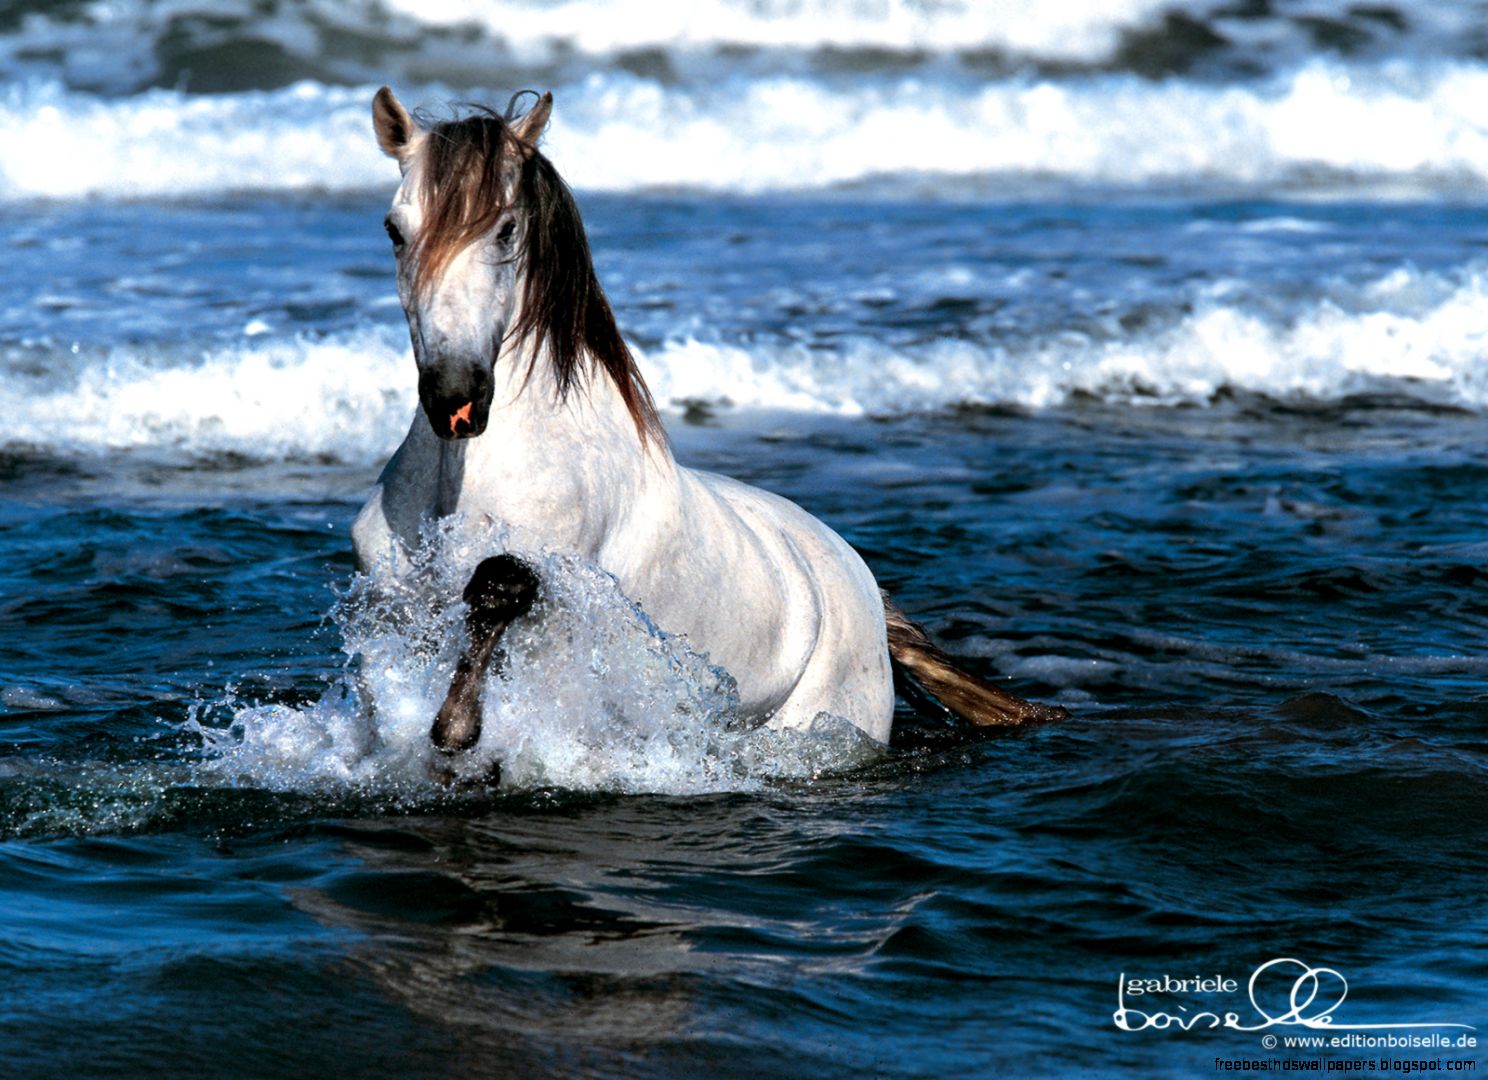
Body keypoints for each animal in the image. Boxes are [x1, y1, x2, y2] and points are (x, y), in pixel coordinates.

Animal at [352, 87, 1063, 755]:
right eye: (392, 229)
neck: (462, 481)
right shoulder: (390, 605)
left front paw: (456, 728)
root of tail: (861, 582)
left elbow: (500, 586)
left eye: (505, 229)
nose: (456, 398)